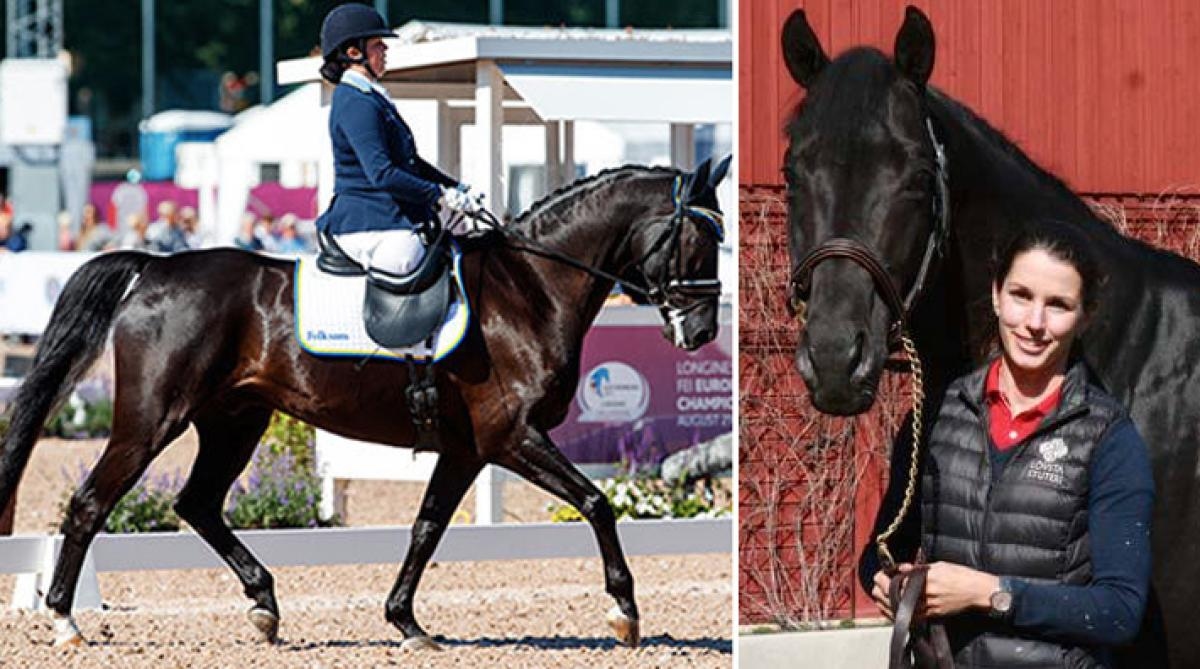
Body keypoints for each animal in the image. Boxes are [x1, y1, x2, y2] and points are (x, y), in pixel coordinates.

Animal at [0, 158, 729, 652]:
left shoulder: (465, 449)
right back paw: (64, 620)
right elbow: (598, 502)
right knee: (91, 501)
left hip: (236, 420)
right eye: (700, 242)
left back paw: (265, 603)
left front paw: (406, 622)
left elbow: (426, 529)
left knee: (198, 503)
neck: (531, 289)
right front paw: (624, 613)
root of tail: (154, 267)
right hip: (153, 419)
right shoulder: (512, 438)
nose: (700, 333)